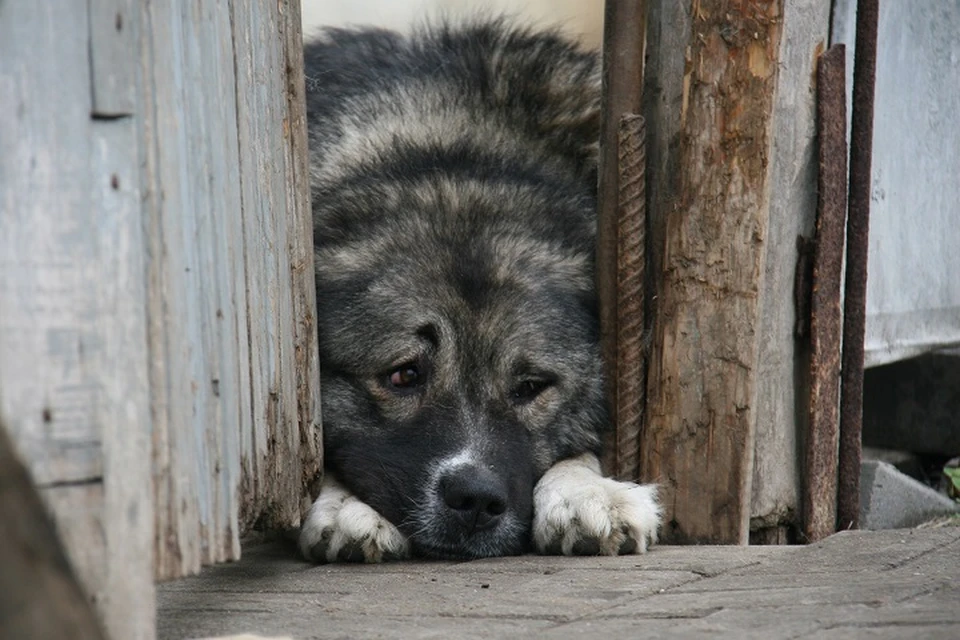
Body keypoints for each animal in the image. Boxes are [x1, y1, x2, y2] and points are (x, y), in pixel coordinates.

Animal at [300, 17, 660, 564]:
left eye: (530, 386)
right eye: (404, 375)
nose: (475, 499)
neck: (447, 153)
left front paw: (585, 492)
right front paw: (344, 507)